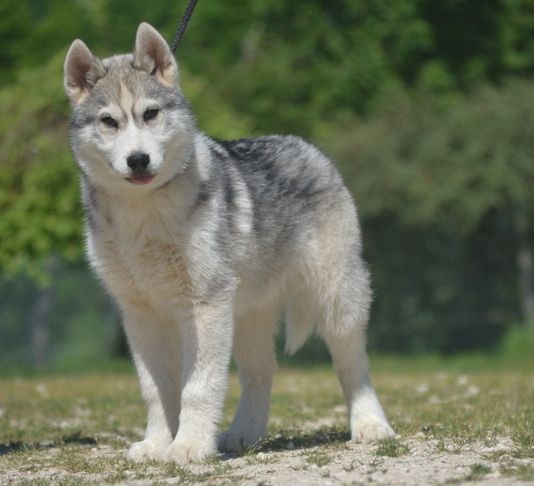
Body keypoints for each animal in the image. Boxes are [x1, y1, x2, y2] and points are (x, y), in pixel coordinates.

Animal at [63, 22, 398, 464]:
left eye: (151, 114)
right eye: (108, 122)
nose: (138, 160)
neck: (145, 215)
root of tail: (307, 146)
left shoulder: (204, 304)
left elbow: (198, 386)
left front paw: (188, 447)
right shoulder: (140, 313)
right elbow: (156, 389)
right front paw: (156, 444)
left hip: (337, 296)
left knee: (352, 365)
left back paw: (370, 425)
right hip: (246, 313)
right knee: (261, 373)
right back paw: (244, 434)